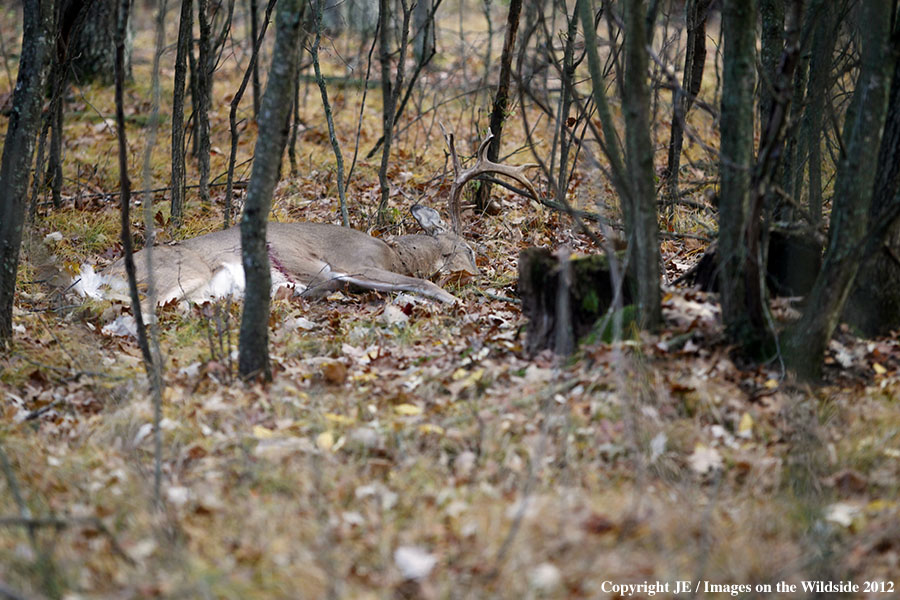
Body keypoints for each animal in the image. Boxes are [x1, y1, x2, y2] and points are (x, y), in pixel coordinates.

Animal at [77, 133, 536, 308]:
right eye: (470, 250)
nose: (480, 275)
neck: (397, 254)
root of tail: (99, 274)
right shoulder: (354, 263)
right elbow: (421, 284)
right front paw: (454, 300)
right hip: (182, 270)